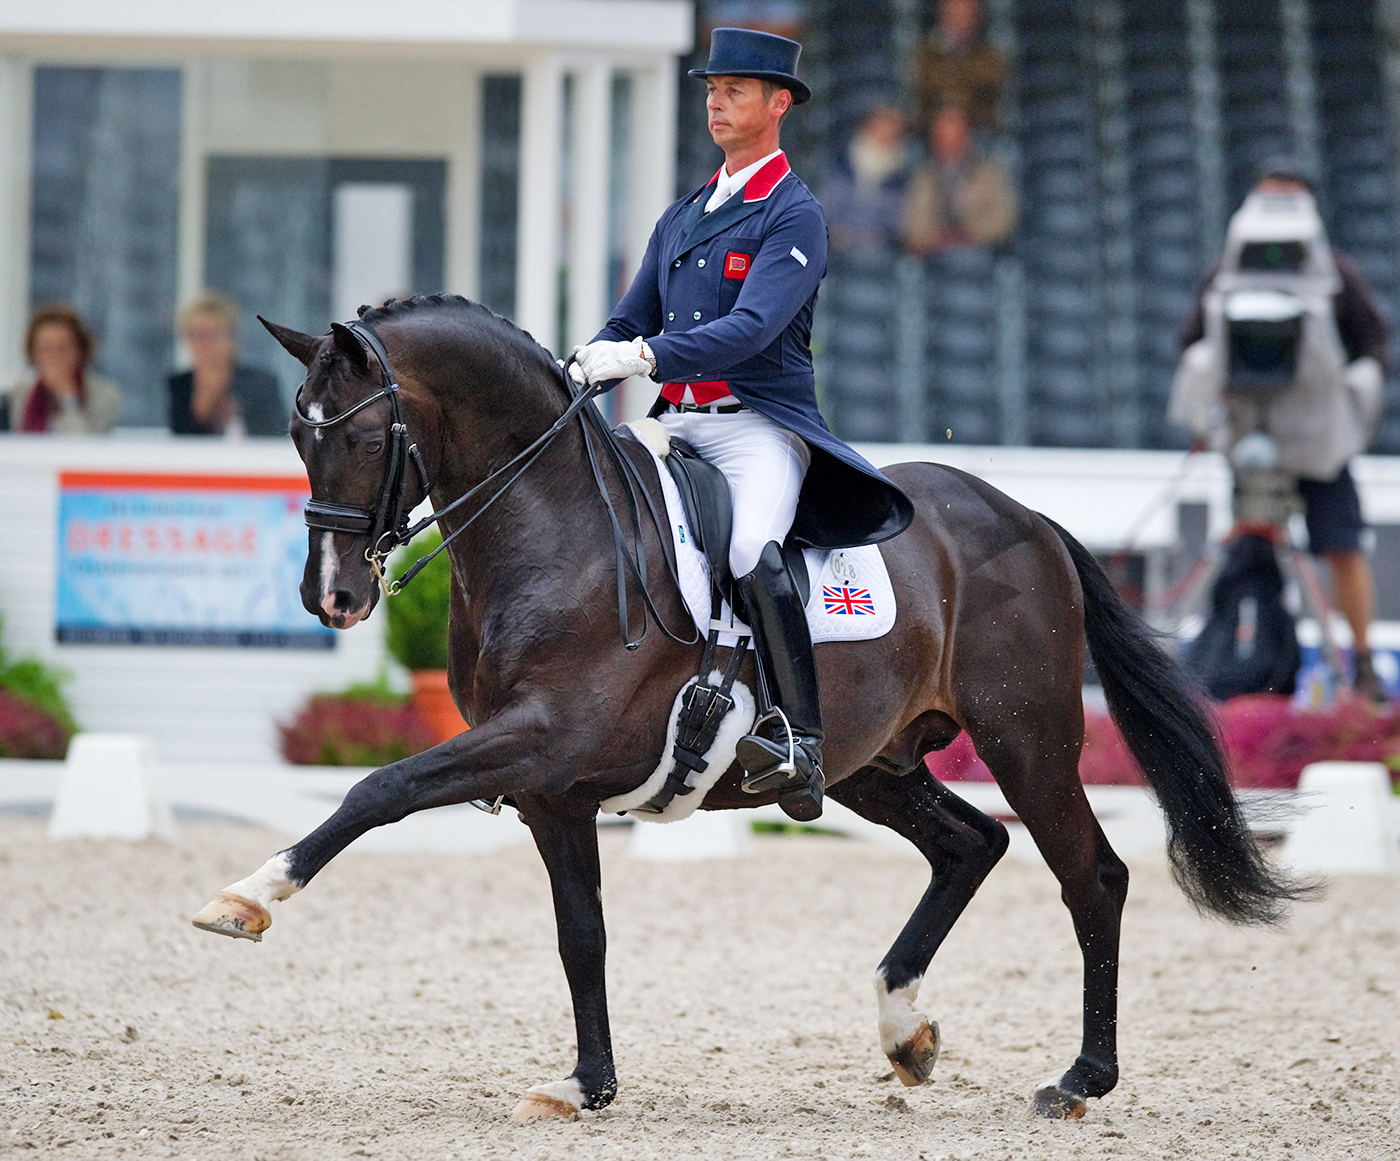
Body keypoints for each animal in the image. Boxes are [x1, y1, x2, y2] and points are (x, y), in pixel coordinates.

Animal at [192, 294, 1305, 1123]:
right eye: (295, 433)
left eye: (366, 434)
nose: (332, 597)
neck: (554, 527)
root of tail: (1026, 516)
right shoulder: (552, 787)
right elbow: (581, 932)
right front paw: (587, 1085)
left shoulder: (534, 740)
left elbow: (377, 790)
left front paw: (246, 896)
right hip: (871, 763)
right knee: (970, 844)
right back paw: (905, 1032)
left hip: (1025, 738)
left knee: (1091, 877)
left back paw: (1078, 1080)